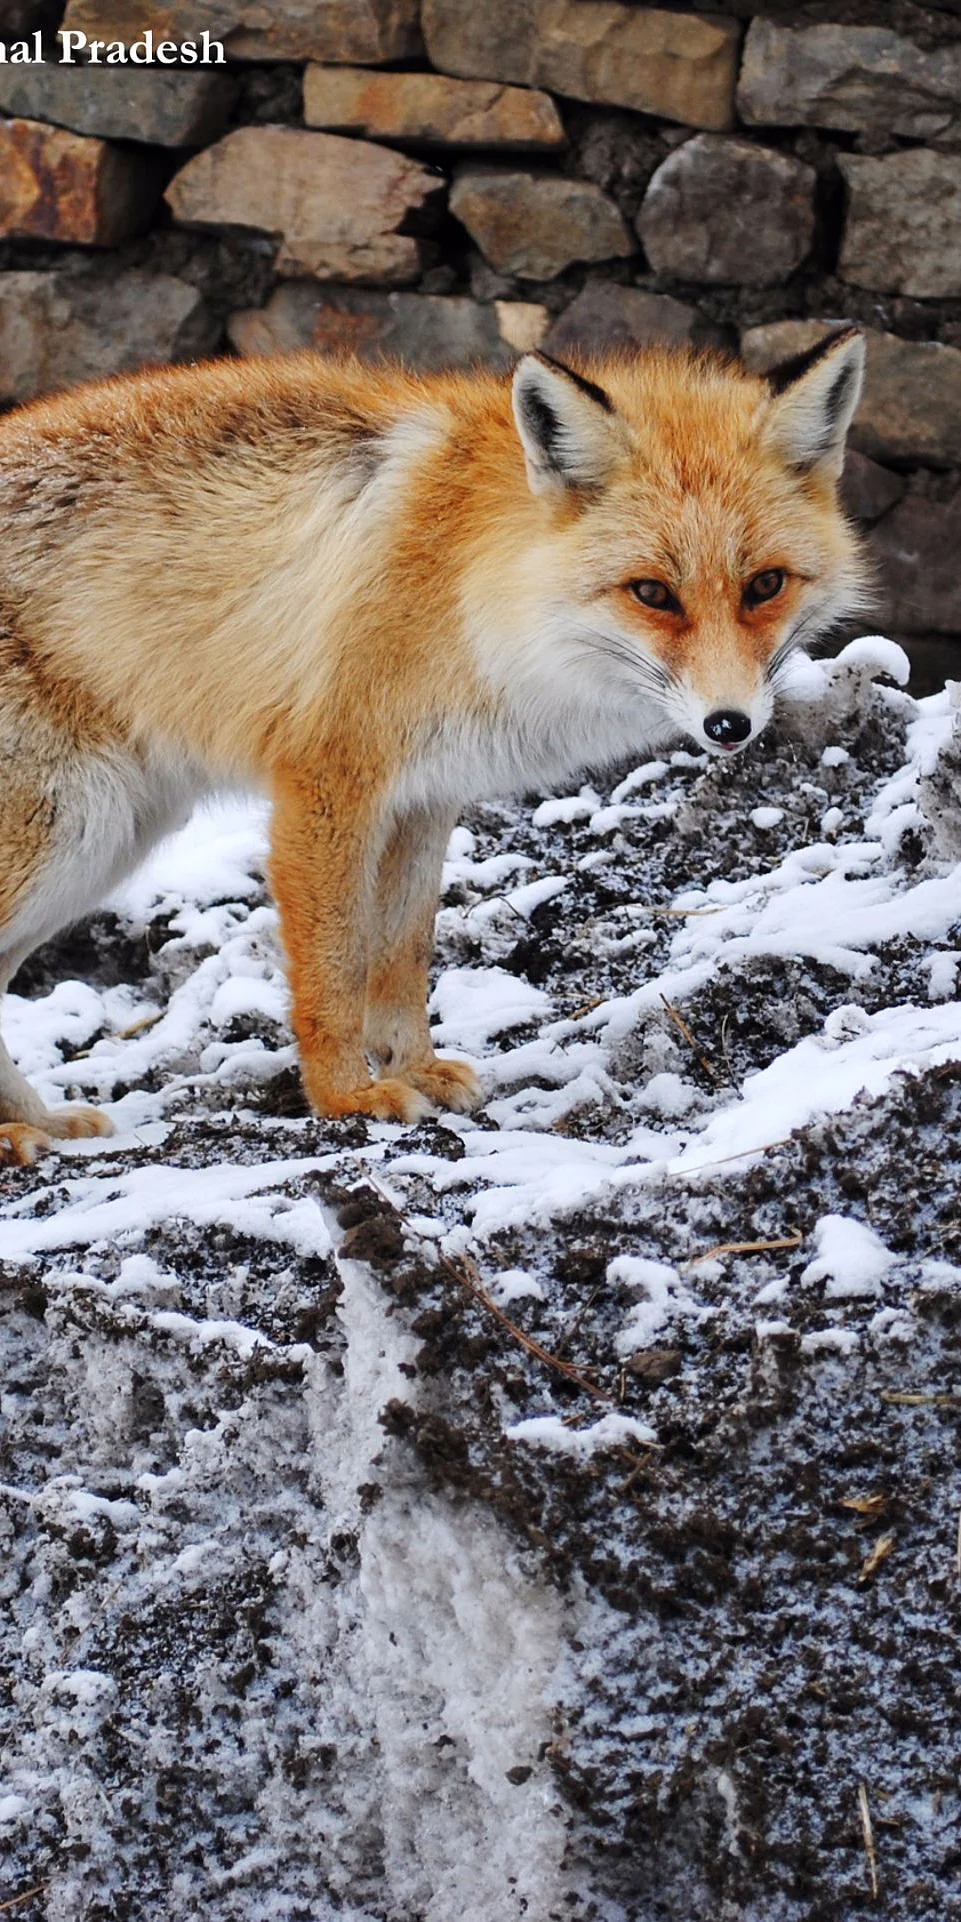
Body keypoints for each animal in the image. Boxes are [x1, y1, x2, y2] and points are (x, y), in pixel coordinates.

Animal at [0, 327, 869, 1164]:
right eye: (652, 593)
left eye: (764, 585)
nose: (730, 725)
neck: (468, 587)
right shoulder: (327, 784)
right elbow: (333, 970)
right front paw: (346, 1096)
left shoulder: (424, 799)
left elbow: (400, 958)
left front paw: (412, 1067)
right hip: (74, 830)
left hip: (105, 842)